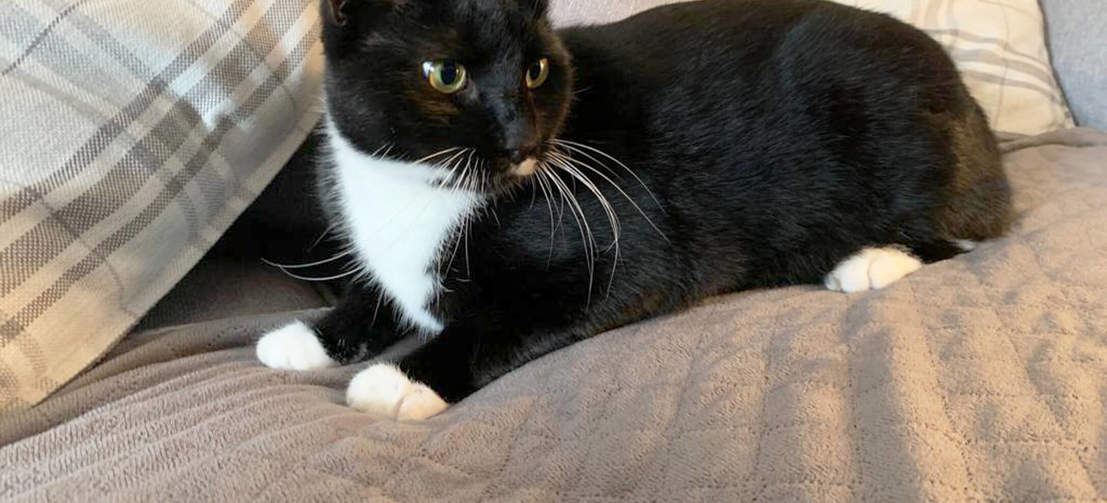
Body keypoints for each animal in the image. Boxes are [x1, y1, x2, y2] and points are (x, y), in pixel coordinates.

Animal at [256, 0, 1014, 418]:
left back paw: (872, 259)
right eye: (446, 74)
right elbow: (376, 292)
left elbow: (495, 322)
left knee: (970, 226)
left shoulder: (624, 252)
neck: (425, 189)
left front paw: (397, 379)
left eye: (536, 70)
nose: (522, 140)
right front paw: (309, 336)